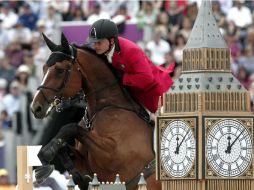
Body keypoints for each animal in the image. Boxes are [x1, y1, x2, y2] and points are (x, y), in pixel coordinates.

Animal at [30, 33, 161, 189]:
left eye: (60, 70)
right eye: (44, 68)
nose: (36, 108)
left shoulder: (112, 155)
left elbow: (70, 127)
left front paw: (46, 153)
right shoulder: (85, 161)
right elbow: (64, 148)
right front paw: (45, 167)